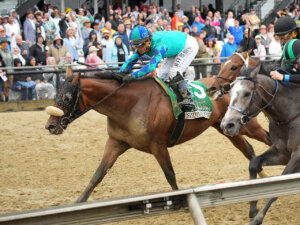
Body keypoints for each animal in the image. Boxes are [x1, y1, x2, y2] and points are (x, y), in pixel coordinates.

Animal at [45, 69, 270, 203]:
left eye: (66, 97)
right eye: (56, 95)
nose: (50, 125)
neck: (130, 104)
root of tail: (230, 85)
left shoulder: (157, 145)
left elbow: (170, 175)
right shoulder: (116, 142)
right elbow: (97, 175)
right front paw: (78, 203)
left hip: (245, 125)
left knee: (269, 137)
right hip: (226, 128)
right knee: (248, 150)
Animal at [219, 63, 300, 225]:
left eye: (247, 93)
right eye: (229, 93)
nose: (227, 125)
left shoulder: (297, 156)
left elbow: (280, 186)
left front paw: (258, 218)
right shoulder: (282, 153)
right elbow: (254, 163)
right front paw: (253, 209)